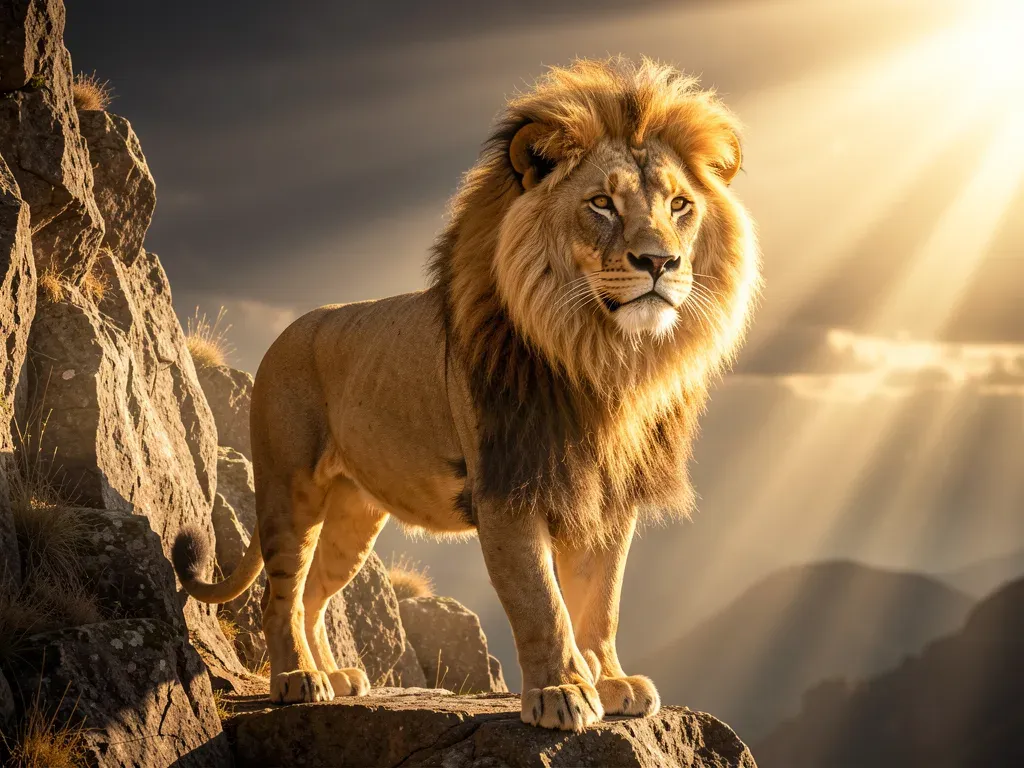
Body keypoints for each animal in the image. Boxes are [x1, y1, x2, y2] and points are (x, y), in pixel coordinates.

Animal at [173, 57, 760, 731]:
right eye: (602, 203)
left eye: (680, 204)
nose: (660, 261)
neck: (603, 360)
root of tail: (286, 333)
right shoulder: (508, 485)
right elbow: (541, 600)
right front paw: (562, 692)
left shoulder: (610, 497)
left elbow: (601, 601)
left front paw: (611, 682)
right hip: (288, 485)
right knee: (282, 590)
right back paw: (299, 679)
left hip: (354, 513)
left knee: (316, 592)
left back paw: (336, 675)